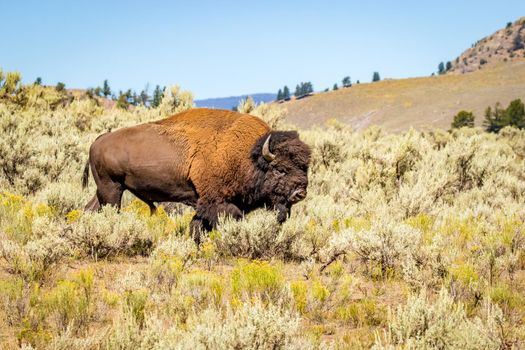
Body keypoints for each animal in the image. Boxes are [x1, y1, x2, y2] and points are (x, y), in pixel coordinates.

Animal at [82, 108, 310, 242]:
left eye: (305, 167)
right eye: (280, 169)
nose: (300, 193)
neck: (249, 155)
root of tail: (98, 140)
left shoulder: (205, 203)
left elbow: (197, 225)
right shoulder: (216, 202)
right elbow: (225, 219)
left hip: (104, 189)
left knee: (89, 208)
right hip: (112, 189)